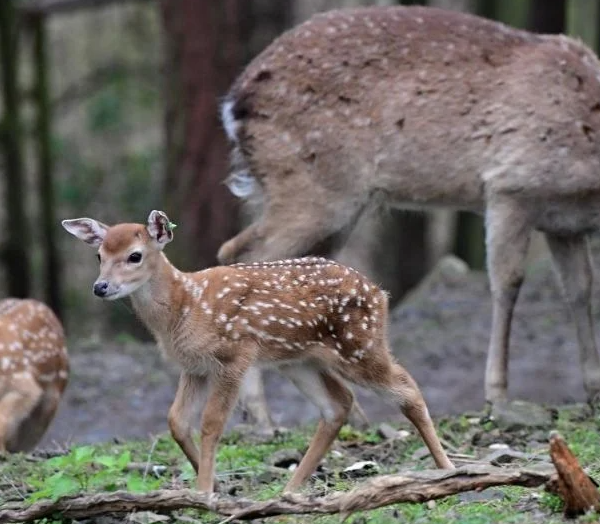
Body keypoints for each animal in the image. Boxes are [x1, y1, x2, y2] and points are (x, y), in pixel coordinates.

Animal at [63, 211, 452, 494]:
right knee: (338, 404)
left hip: (359, 345)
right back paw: (290, 489)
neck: (186, 305)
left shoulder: (235, 356)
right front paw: (212, 482)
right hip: (299, 360)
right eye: (99, 255)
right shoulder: (195, 366)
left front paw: (203, 491)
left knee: (406, 388)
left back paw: (447, 468)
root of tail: (380, 293)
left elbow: (211, 423)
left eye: (135, 256)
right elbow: (176, 420)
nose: (100, 287)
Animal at [218, 5, 600, 418]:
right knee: (244, 257)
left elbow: (580, 288)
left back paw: (349, 414)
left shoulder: (564, 224)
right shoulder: (510, 186)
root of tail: (234, 102)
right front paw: (497, 394)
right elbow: (508, 282)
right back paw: (261, 415)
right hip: (313, 189)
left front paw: (593, 387)